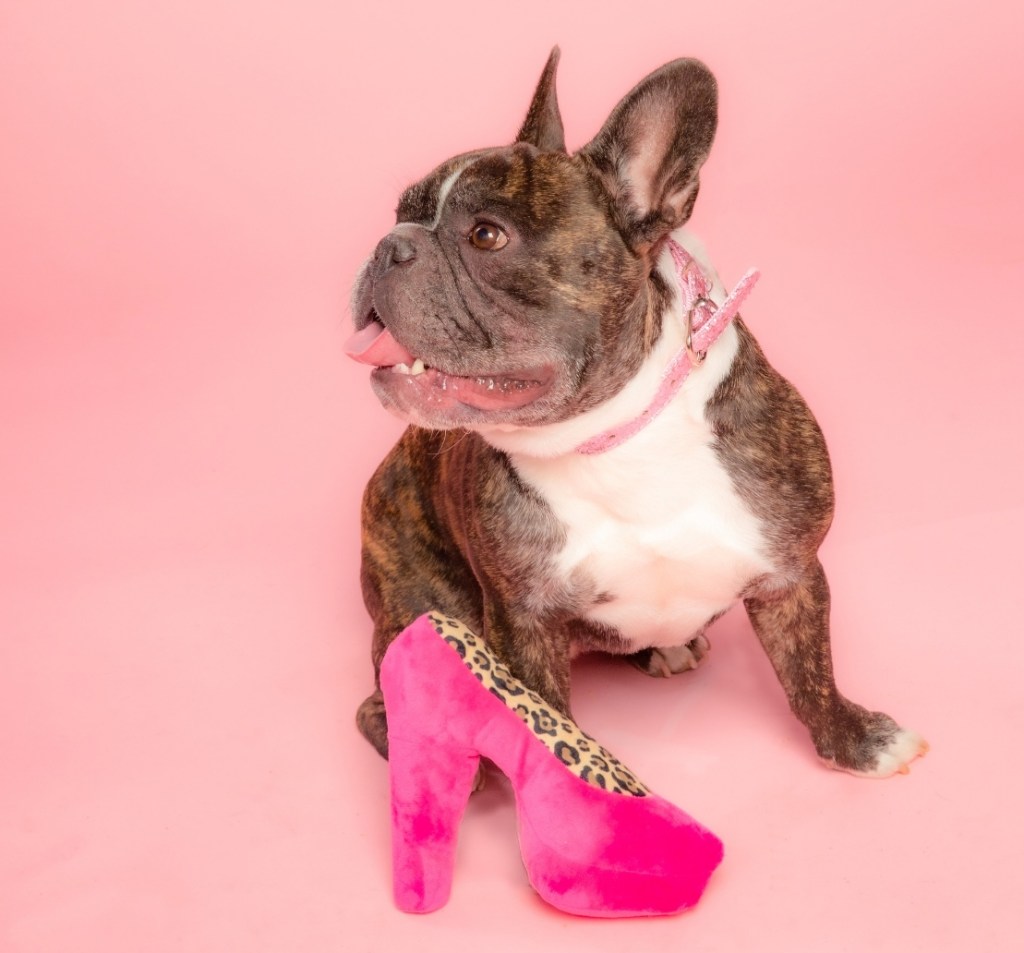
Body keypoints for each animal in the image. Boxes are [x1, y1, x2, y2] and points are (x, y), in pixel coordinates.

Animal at [348, 48, 925, 777]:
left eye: (487, 235)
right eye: (399, 212)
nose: (387, 244)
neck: (614, 437)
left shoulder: (791, 572)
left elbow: (810, 669)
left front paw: (853, 738)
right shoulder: (523, 620)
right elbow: (544, 722)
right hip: (427, 611)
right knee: (385, 701)